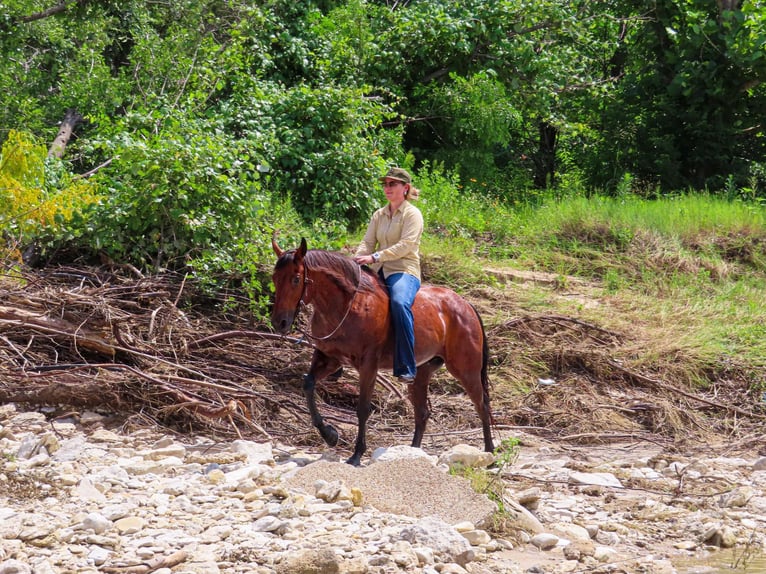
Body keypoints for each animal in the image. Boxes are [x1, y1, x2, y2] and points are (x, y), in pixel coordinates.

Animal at [271, 236, 494, 466]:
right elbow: (308, 384)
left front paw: (356, 455)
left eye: (296, 279)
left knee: (482, 406)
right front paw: (330, 435)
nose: (280, 322)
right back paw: (413, 454)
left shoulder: (368, 365)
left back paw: (489, 452)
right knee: (422, 413)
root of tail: (465, 304)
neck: (348, 305)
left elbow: (362, 408)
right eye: (275, 278)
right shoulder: (329, 358)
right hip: (421, 374)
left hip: (466, 371)